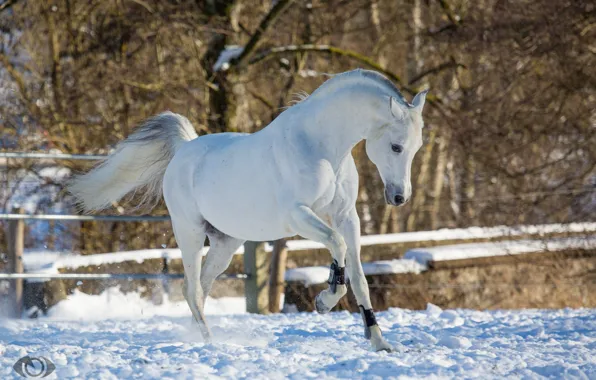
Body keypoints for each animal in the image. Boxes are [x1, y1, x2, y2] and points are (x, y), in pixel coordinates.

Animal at [70, 70, 426, 352]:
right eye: (396, 146)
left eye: (416, 147)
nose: (399, 197)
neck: (321, 147)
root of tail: (184, 149)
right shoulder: (299, 216)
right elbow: (337, 249)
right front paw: (323, 302)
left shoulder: (346, 218)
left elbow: (360, 278)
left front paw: (379, 341)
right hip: (189, 233)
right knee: (192, 288)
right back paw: (209, 342)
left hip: (226, 243)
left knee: (200, 288)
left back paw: (204, 337)